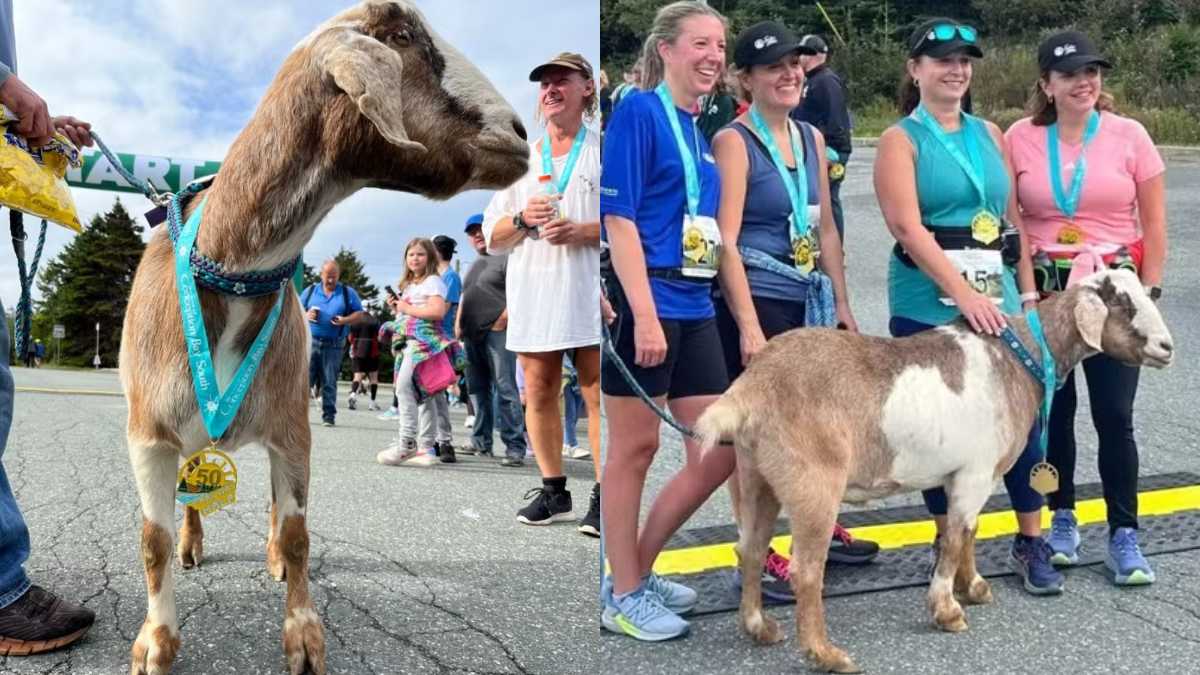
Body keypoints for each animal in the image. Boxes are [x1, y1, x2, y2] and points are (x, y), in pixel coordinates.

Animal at [119, 2, 528, 667]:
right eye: (402, 35)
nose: (519, 133)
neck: (229, 268)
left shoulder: (292, 426)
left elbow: (297, 532)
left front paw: (304, 636)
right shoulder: (149, 432)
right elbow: (151, 539)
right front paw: (155, 643)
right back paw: (193, 543)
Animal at [696, 269, 1171, 672]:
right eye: (1122, 303)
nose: (1167, 348)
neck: (1022, 357)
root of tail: (750, 389)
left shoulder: (968, 474)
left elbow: (970, 531)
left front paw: (973, 587)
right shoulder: (976, 472)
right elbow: (956, 536)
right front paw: (947, 610)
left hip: (757, 476)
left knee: (750, 549)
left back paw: (760, 628)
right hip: (813, 481)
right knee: (806, 569)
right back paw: (826, 653)